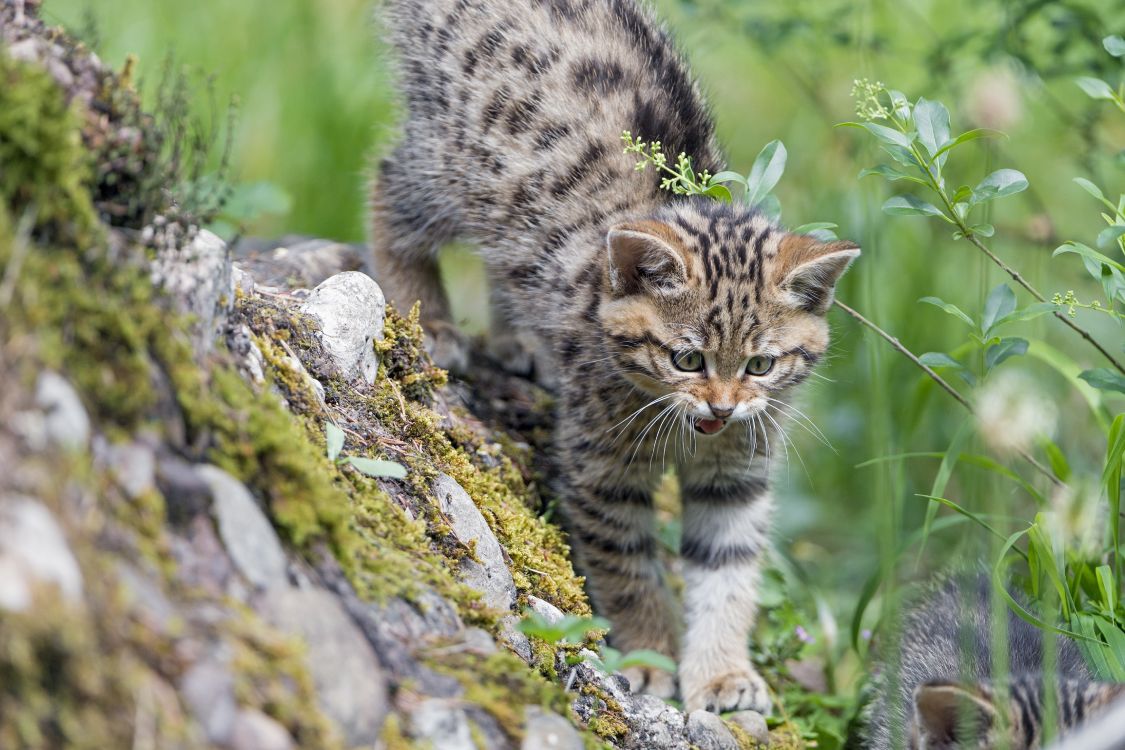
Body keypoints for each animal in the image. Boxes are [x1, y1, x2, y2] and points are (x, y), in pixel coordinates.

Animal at [373, 0, 855, 715]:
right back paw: (425, 314)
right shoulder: (600, 465)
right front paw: (651, 655)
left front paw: (721, 673)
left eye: (761, 367)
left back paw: (519, 340)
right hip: (460, 162)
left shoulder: (738, 468)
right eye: (686, 359)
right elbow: (626, 562)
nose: (721, 408)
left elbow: (728, 567)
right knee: (391, 180)